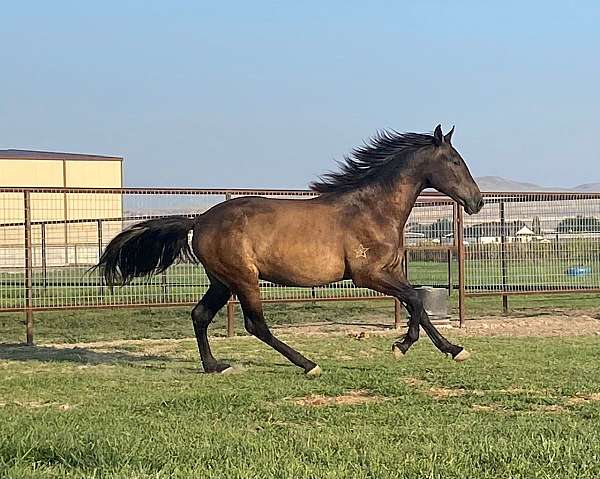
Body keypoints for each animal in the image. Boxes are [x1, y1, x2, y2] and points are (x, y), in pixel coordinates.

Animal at [96, 125, 486, 376]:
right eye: (454, 161)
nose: (477, 202)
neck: (372, 209)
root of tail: (199, 221)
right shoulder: (368, 275)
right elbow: (416, 300)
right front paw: (411, 347)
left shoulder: (391, 273)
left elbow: (416, 303)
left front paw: (442, 349)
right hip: (244, 279)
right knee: (255, 324)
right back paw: (308, 364)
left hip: (222, 281)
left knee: (200, 315)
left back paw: (215, 367)